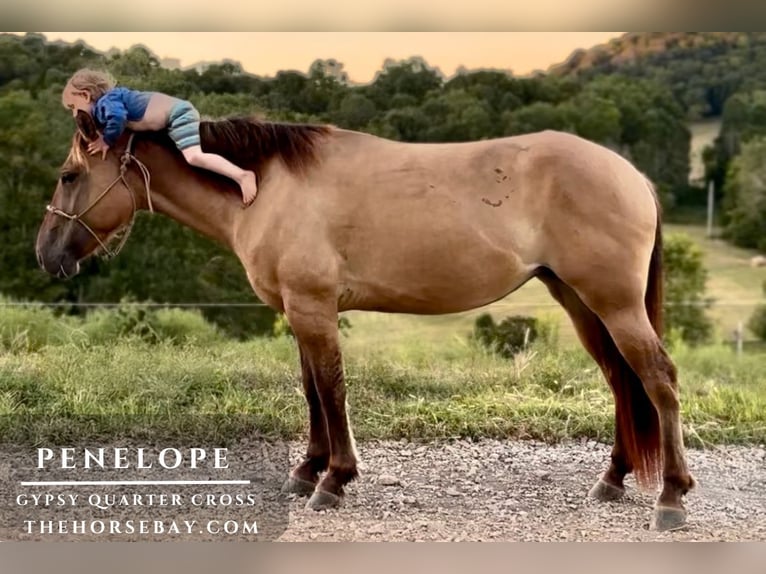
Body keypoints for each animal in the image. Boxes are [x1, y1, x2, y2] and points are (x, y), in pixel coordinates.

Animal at [35, 111, 695, 531]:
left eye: (69, 176)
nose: (45, 254)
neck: (263, 187)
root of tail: (632, 176)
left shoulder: (312, 307)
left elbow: (331, 390)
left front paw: (334, 480)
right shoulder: (300, 311)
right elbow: (311, 391)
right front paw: (307, 471)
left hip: (612, 303)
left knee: (658, 379)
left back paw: (671, 497)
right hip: (581, 302)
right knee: (622, 380)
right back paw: (613, 479)